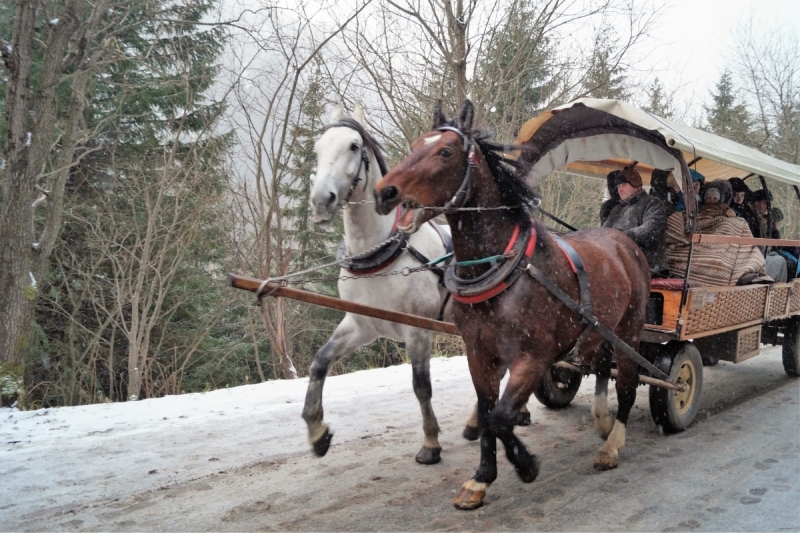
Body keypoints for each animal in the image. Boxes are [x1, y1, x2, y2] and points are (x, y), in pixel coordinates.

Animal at [304, 103, 456, 462]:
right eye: (318, 148)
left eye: (353, 146)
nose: (321, 200)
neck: (379, 254)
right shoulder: (361, 326)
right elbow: (320, 362)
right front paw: (317, 430)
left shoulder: (418, 330)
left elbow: (421, 386)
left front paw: (430, 442)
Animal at [376, 101, 648, 512]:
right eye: (416, 144)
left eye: (446, 152)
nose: (385, 191)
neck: (503, 271)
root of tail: (624, 241)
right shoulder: (480, 354)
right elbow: (488, 413)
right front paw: (481, 477)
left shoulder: (533, 357)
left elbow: (501, 418)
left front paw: (525, 465)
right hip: (599, 331)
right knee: (602, 367)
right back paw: (601, 421)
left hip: (628, 332)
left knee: (628, 386)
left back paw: (612, 445)